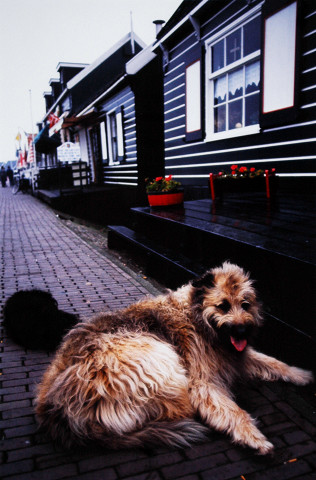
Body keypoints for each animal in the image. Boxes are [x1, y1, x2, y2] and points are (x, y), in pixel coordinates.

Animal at [35, 262, 314, 454]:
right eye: (223, 305)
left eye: (246, 304)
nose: (242, 331)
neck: (198, 317)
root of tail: (55, 411)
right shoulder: (203, 381)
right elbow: (231, 409)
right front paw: (252, 436)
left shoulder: (236, 356)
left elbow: (272, 361)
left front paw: (301, 374)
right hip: (155, 357)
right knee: (181, 407)